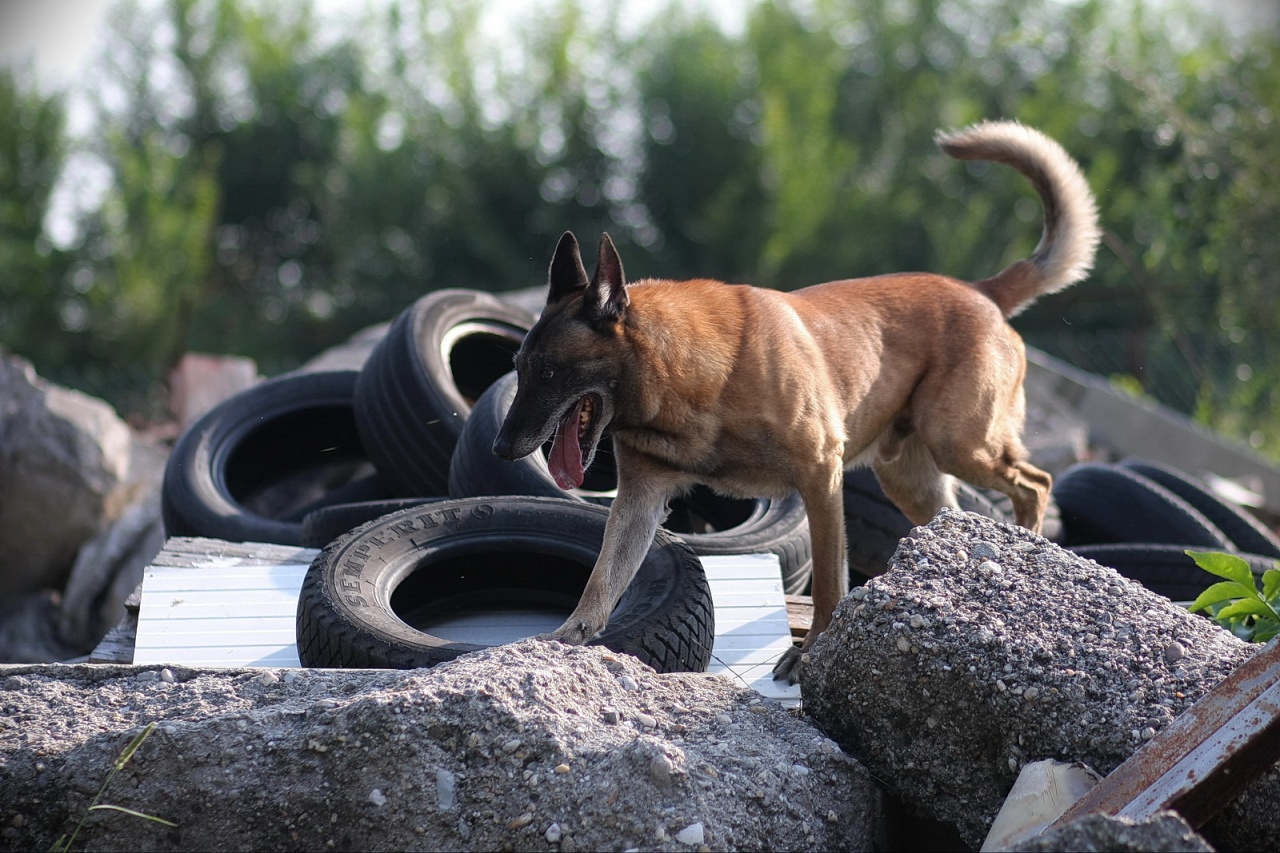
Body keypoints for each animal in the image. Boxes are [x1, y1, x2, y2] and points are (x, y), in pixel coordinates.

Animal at [488, 119, 1100, 676]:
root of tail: (979, 291)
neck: (688, 375)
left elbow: (830, 580)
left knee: (1036, 482)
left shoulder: (821, 476)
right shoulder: (639, 500)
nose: (499, 449)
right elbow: (602, 578)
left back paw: (1029, 545)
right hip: (912, 479)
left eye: (549, 373)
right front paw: (565, 639)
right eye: (520, 369)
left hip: (960, 442)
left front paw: (811, 651)